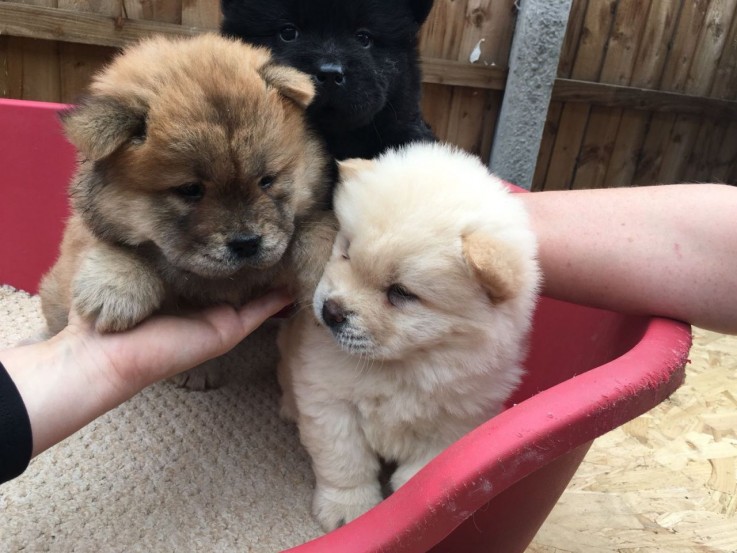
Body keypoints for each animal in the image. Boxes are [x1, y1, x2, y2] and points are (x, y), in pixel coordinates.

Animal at [41, 34, 336, 386]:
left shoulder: (301, 221)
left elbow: (318, 230)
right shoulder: (88, 228)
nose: (247, 244)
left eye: (267, 180)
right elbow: (109, 245)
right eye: (191, 190)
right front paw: (116, 290)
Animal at [278, 142, 540, 532]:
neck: (405, 366)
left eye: (400, 292)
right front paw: (348, 511)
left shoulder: (455, 423)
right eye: (346, 252)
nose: (331, 311)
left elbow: (418, 476)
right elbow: (345, 462)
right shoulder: (329, 402)